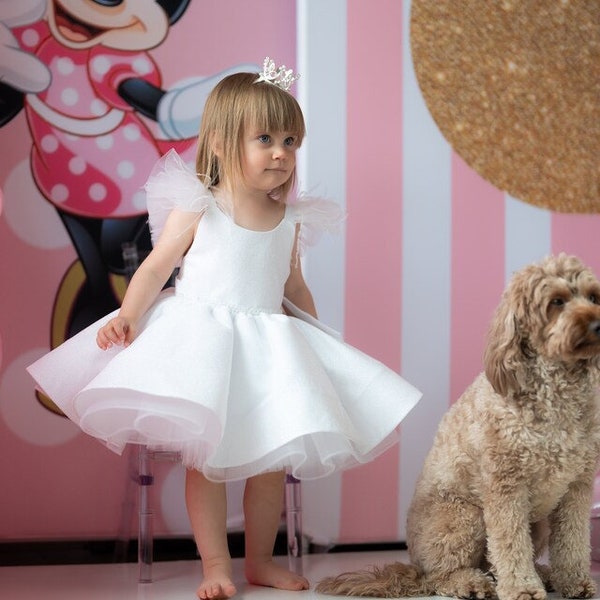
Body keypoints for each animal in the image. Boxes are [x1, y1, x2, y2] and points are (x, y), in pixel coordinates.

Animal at [316, 254, 600, 600]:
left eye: (594, 297)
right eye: (557, 301)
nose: (598, 324)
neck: (556, 395)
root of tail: (414, 565)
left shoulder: (576, 487)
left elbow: (573, 540)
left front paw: (575, 582)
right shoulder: (505, 487)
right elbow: (510, 545)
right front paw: (522, 588)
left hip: (539, 522)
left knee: (493, 562)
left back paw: (542, 575)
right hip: (465, 516)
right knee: (442, 575)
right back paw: (472, 583)